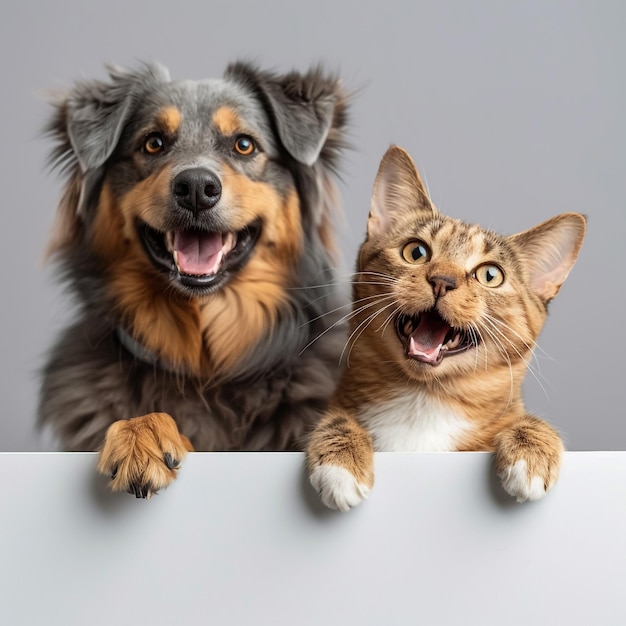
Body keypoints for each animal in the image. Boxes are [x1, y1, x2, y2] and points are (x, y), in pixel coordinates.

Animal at [308, 145, 584, 508]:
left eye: (490, 275)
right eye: (416, 251)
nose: (442, 280)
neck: (422, 399)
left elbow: (522, 418)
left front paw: (531, 450)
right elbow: (337, 416)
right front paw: (341, 460)